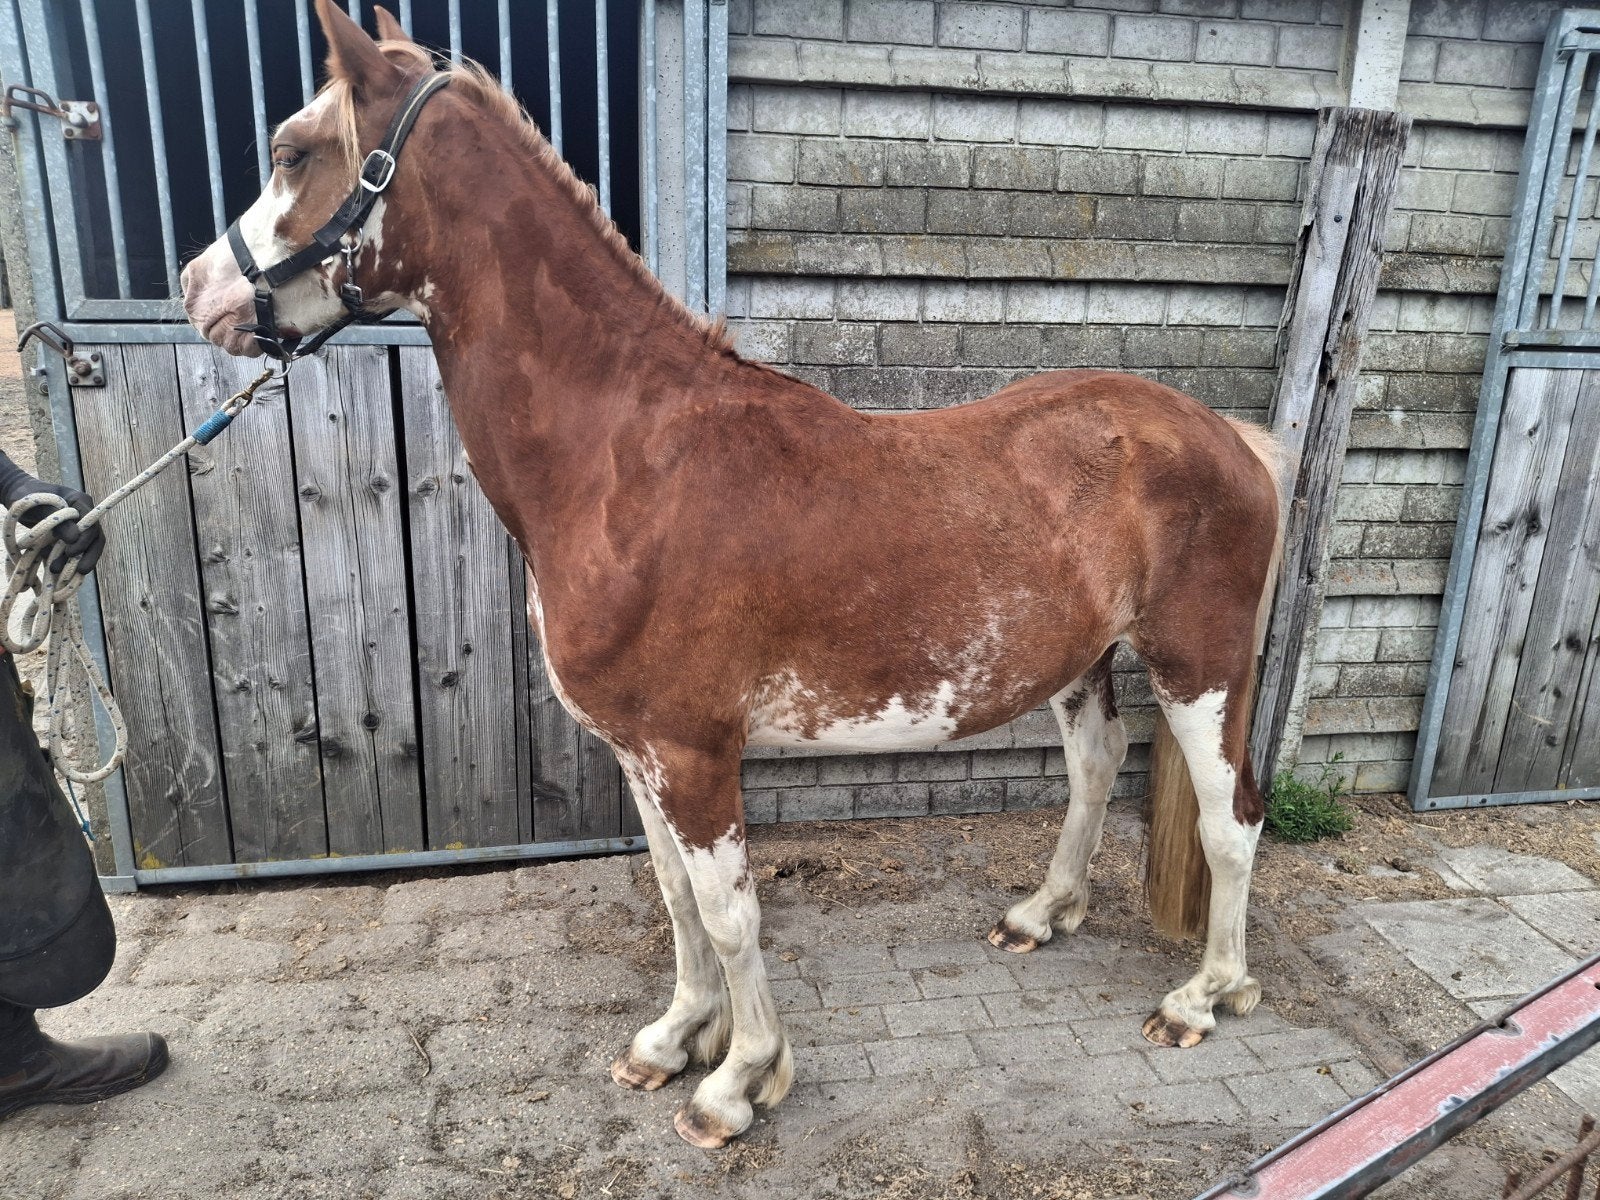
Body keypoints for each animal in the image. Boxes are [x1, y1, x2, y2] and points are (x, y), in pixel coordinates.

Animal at [180, 0, 1285, 1149]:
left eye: (292, 152)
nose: (195, 290)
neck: (627, 459)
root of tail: (1235, 439)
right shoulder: (639, 754)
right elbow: (675, 899)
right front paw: (675, 1038)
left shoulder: (692, 752)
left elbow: (728, 908)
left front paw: (739, 1079)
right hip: (1081, 662)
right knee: (1094, 767)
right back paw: (1042, 914)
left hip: (1198, 666)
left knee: (1231, 817)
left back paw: (1204, 995)